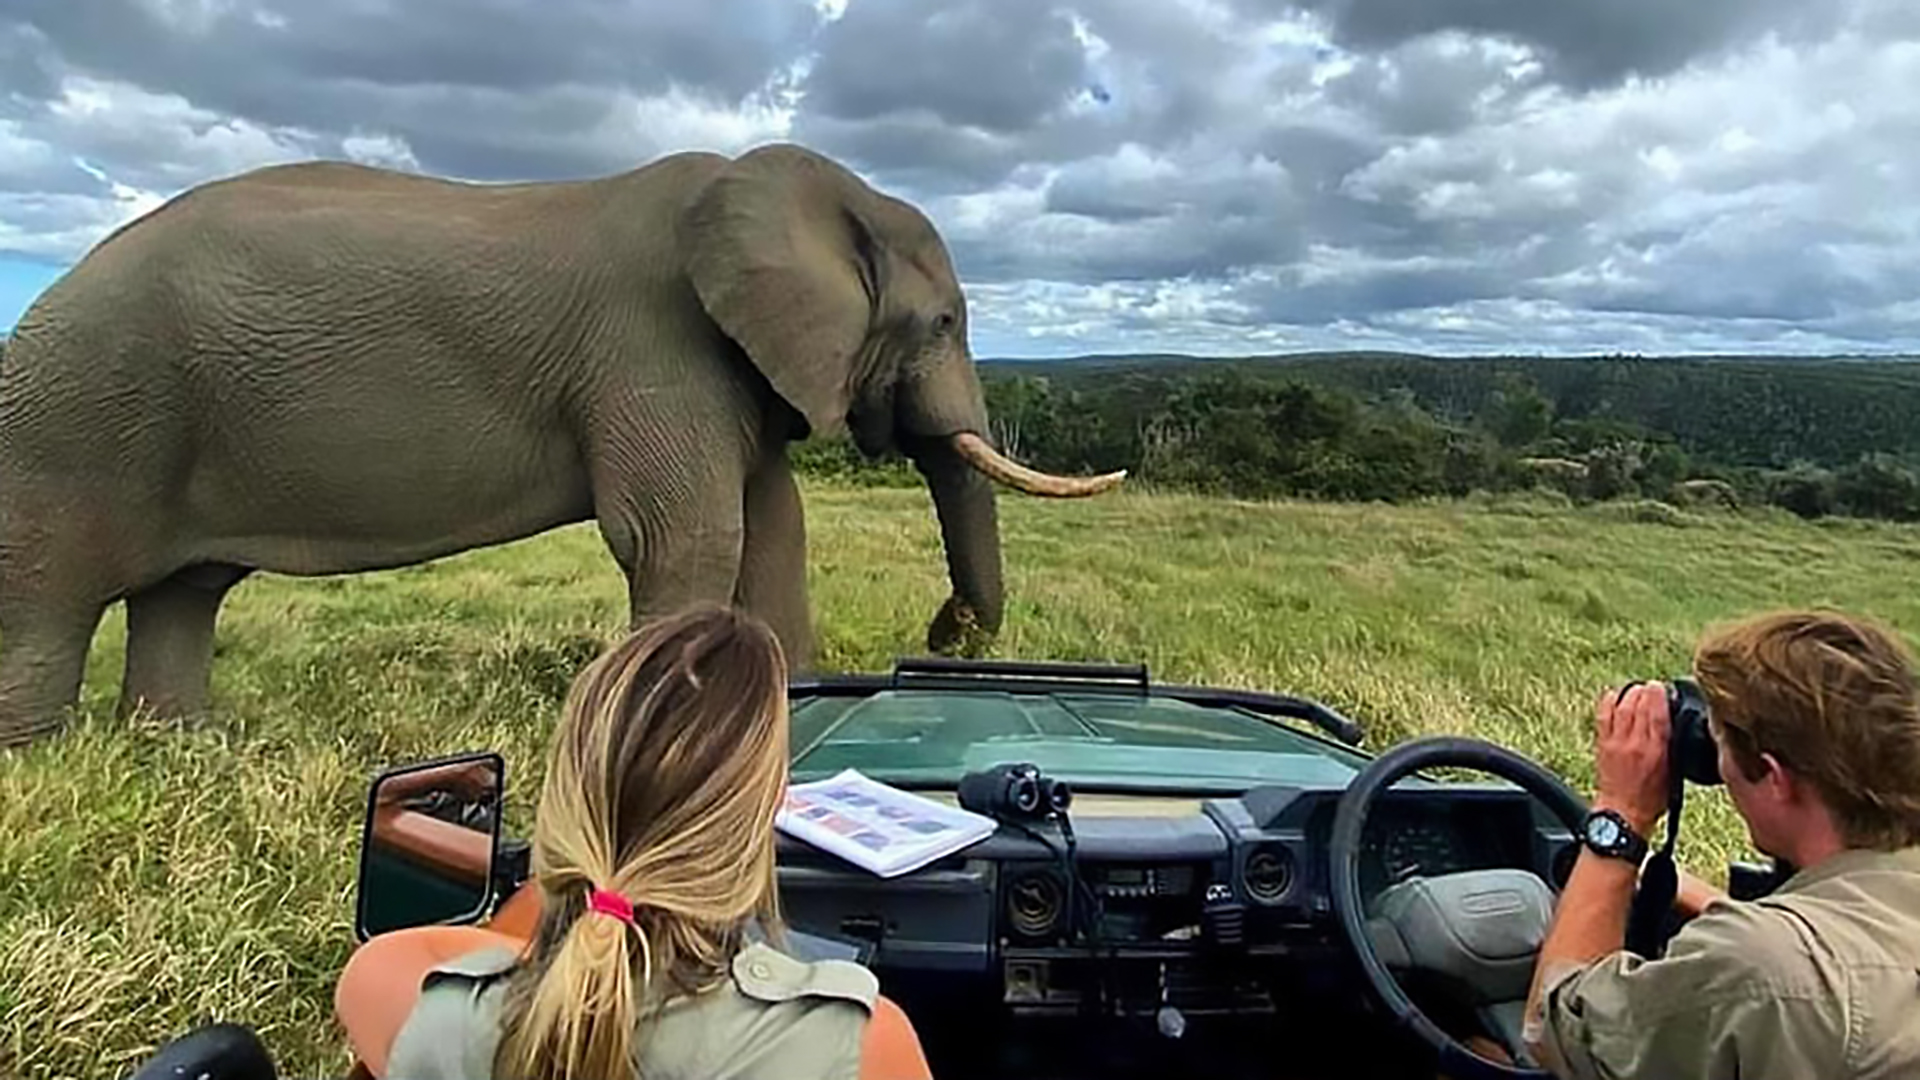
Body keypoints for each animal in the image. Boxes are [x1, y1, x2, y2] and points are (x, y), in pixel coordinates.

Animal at [0, 142, 1124, 748]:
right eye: (945, 323)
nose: (942, 636)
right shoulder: (653, 347)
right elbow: (684, 535)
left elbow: (775, 530)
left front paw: (794, 717)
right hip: (81, 420)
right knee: (51, 599)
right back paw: (44, 759)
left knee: (181, 594)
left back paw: (181, 746)